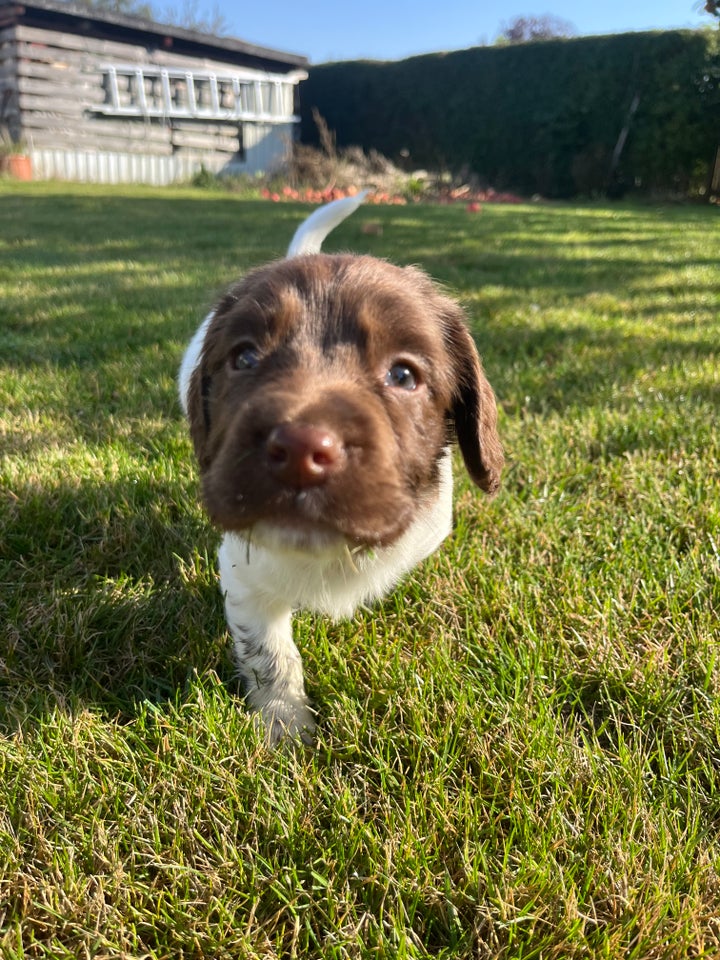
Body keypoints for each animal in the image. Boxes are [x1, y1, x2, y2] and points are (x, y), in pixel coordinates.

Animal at [178, 193, 504, 744]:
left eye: (403, 375)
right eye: (244, 358)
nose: (300, 450)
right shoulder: (244, 576)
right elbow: (271, 655)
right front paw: (286, 729)